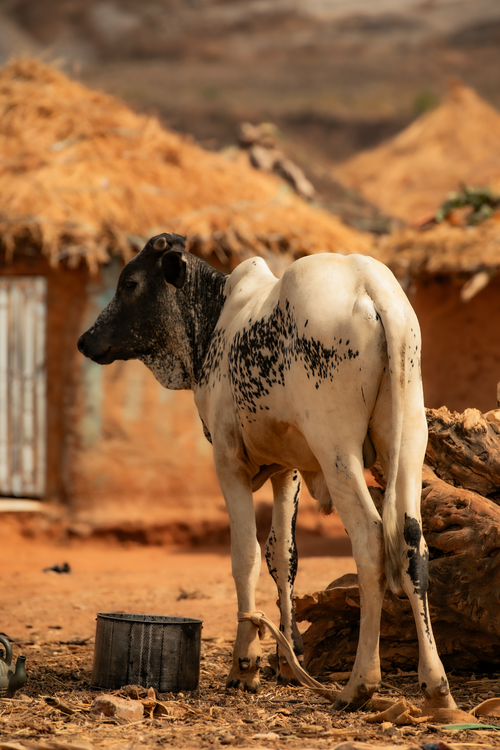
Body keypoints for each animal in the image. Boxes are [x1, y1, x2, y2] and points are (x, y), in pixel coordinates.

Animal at [77, 232, 456, 712]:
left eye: (129, 283)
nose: (85, 341)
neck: (213, 320)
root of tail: (372, 286)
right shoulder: (288, 470)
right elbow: (283, 556)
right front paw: (288, 660)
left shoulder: (228, 462)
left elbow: (246, 556)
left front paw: (246, 664)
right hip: (407, 441)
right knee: (412, 547)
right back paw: (436, 687)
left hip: (337, 449)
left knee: (371, 541)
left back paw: (360, 684)